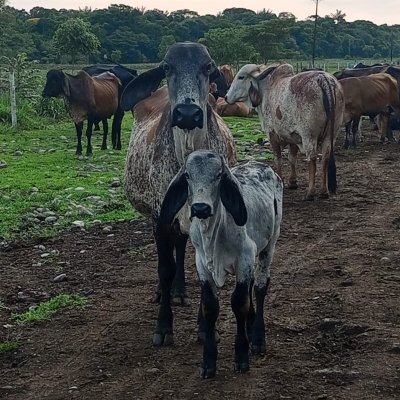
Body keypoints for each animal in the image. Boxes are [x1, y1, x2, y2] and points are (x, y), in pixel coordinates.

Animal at [120, 41, 236, 346]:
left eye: (208, 67)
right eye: (167, 67)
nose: (187, 113)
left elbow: (204, 268)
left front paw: (206, 327)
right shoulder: (161, 216)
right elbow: (164, 267)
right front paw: (163, 327)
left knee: (181, 246)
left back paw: (179, 290)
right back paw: (165, 291)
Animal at [159, 150, 284, 378]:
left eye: (218, 175)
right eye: (187, 175)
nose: (200, 208)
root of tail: (263, 166)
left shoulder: (245, 257)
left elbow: (240, 302)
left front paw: (242, 356)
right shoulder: (202, 263)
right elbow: (210, 306)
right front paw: (208, 362)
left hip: (270, 243)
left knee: (260, 287)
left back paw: (258, 337)